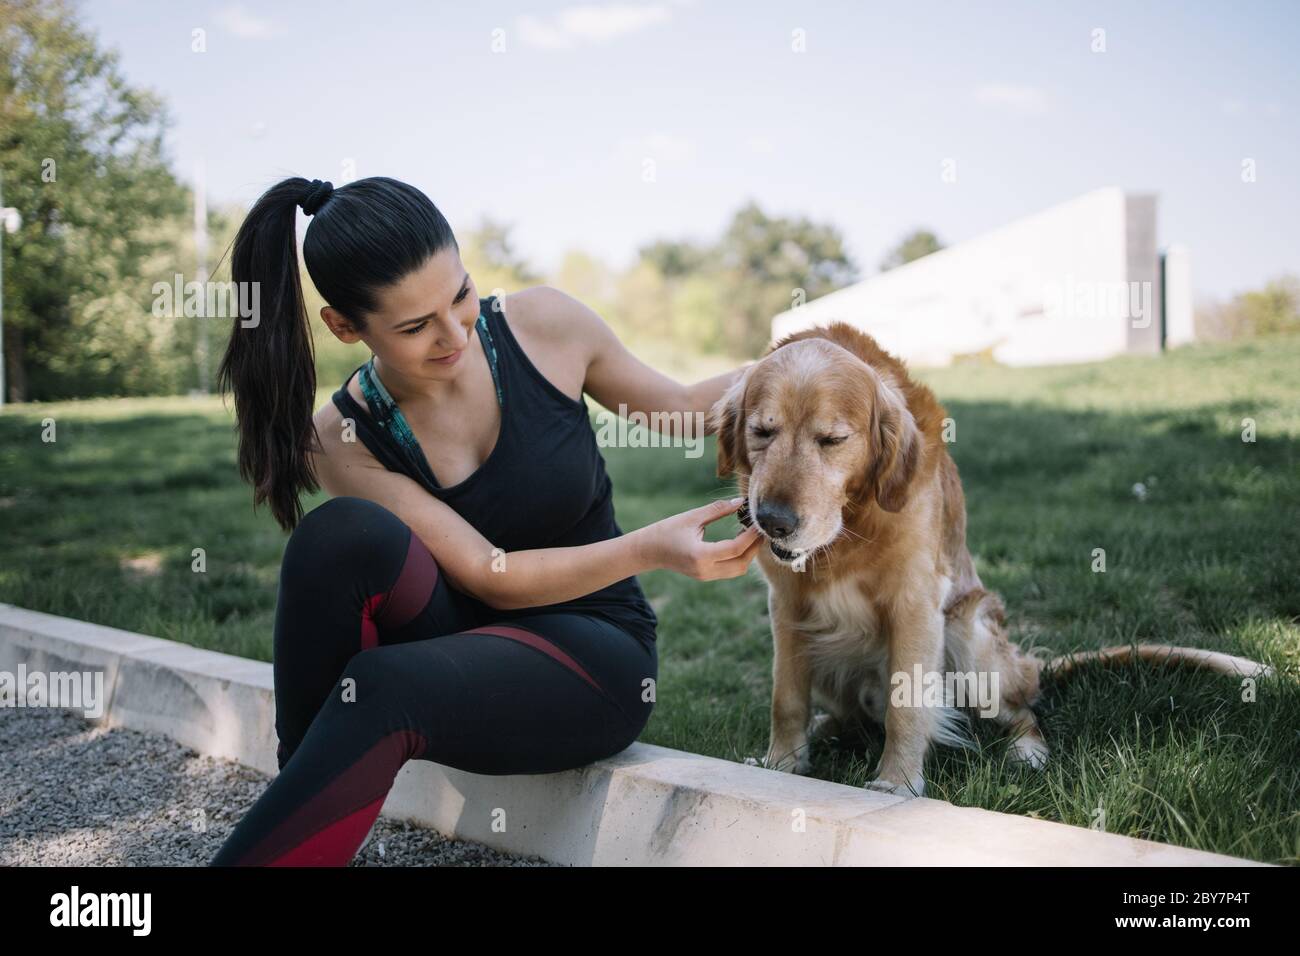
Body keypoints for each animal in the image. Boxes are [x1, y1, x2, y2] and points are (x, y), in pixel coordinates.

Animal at [712, 323, 1268, 801]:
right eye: (762, 432)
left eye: (832, 440)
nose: (772, 520)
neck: (851, 525)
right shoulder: (786, 604)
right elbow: (786, 699)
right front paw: (783, 764)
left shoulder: (917, 602)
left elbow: (906, 707)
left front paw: (898, 783)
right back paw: (827, 726)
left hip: (968, 634)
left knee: (1021, 710)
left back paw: (1027, 752)